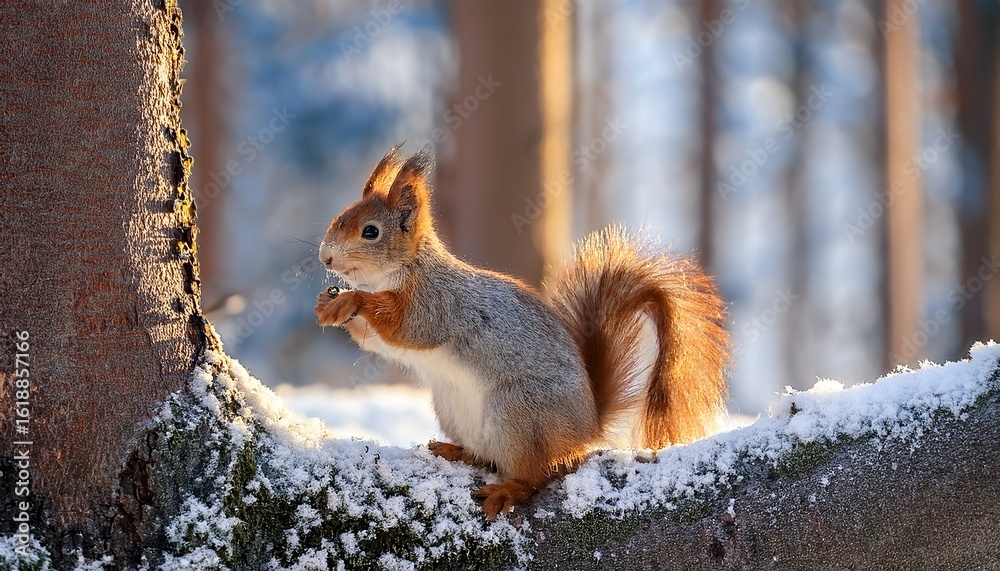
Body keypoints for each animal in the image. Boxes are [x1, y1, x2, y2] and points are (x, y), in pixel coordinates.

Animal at [314, 146, 730, 520]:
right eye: (338, 218)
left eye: (371, 232)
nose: (325, 257)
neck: (403, 270)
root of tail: (586, 428)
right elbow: (374, 338)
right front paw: (329, 304)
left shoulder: (436, 304)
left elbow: (404, 326)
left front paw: (351, 300)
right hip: (454, 410)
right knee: (488, 458)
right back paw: (455, 451)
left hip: (519, 414)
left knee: (537, 475)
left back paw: (507, 490)